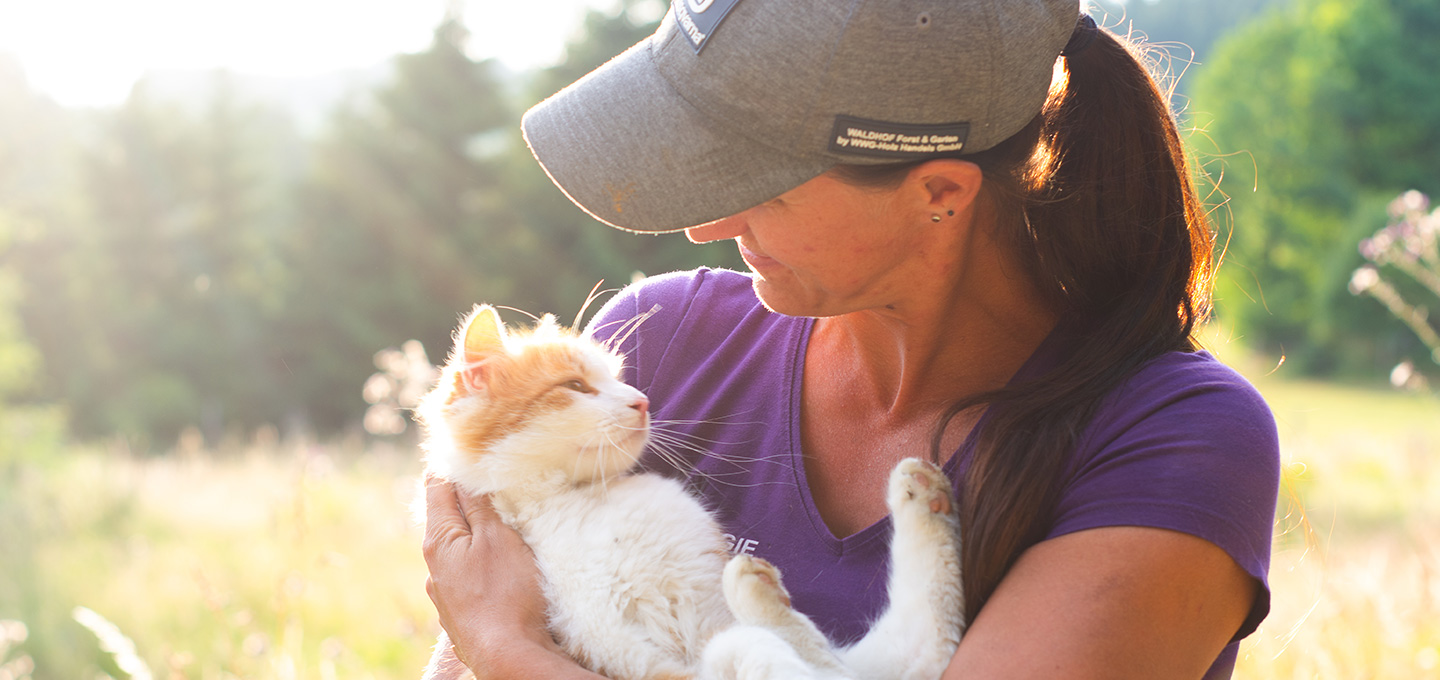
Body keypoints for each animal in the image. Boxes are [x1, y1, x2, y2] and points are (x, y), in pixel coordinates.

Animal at [411, 305, 961, 677]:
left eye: (618, 379)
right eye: (576, 386)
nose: (641, 401)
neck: (578, 503)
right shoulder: (631, 658)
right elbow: (770, 656)